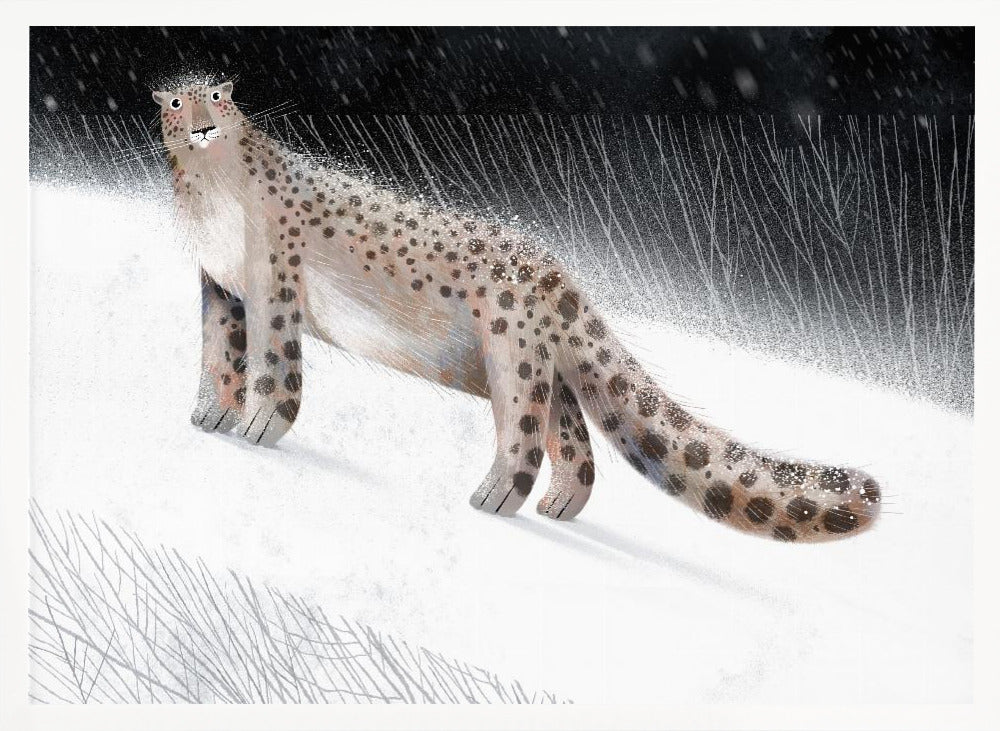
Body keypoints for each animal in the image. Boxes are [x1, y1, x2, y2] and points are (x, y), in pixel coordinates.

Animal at [152, 79, 881, 542]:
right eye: (177, 101)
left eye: (221, 97)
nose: (205, 125)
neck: (210, 197)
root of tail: (560, 275)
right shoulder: (221, 287)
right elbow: (218, 353)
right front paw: (209, 414)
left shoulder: (273, 285)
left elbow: (273, 364)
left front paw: (256, 425)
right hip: (541, 367)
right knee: (576, 439)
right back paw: (559, 504)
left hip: (512, 354)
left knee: (526, 433)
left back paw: (494, 497)